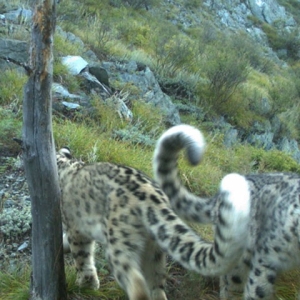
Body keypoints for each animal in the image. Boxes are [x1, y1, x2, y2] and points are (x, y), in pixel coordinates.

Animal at [57, 135, 250, 298]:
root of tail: (154, 196)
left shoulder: (76, 229)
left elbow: (82, 258)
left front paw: (86, 284)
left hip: (119, 245)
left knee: (136, 282)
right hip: (154, 250)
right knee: (156, 283)